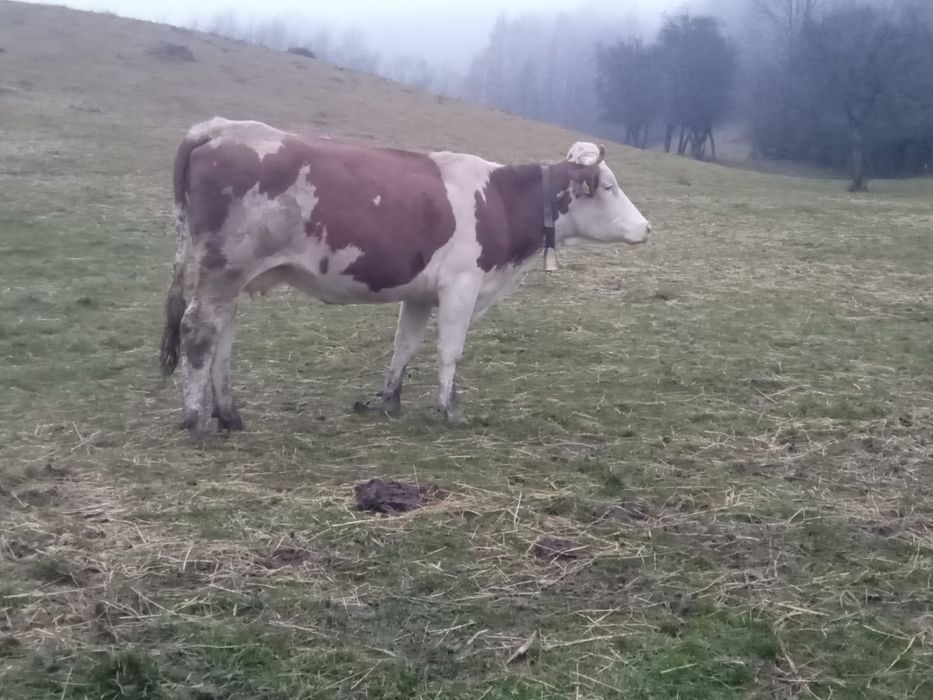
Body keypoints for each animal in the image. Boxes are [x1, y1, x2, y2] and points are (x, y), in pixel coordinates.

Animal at [160, 117, 651, 437]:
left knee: (221, 336)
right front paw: (449, 410)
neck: (500, 201)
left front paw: (389, 401)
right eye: (609, 187)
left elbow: (406, 346)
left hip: (229, 277)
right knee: (198, 330)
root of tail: (219, 128)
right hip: (223, 269)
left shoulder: (419, 293)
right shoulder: (461, 287)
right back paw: (197, 420)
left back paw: (228, 414)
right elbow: (450, 350)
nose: (647, 227)